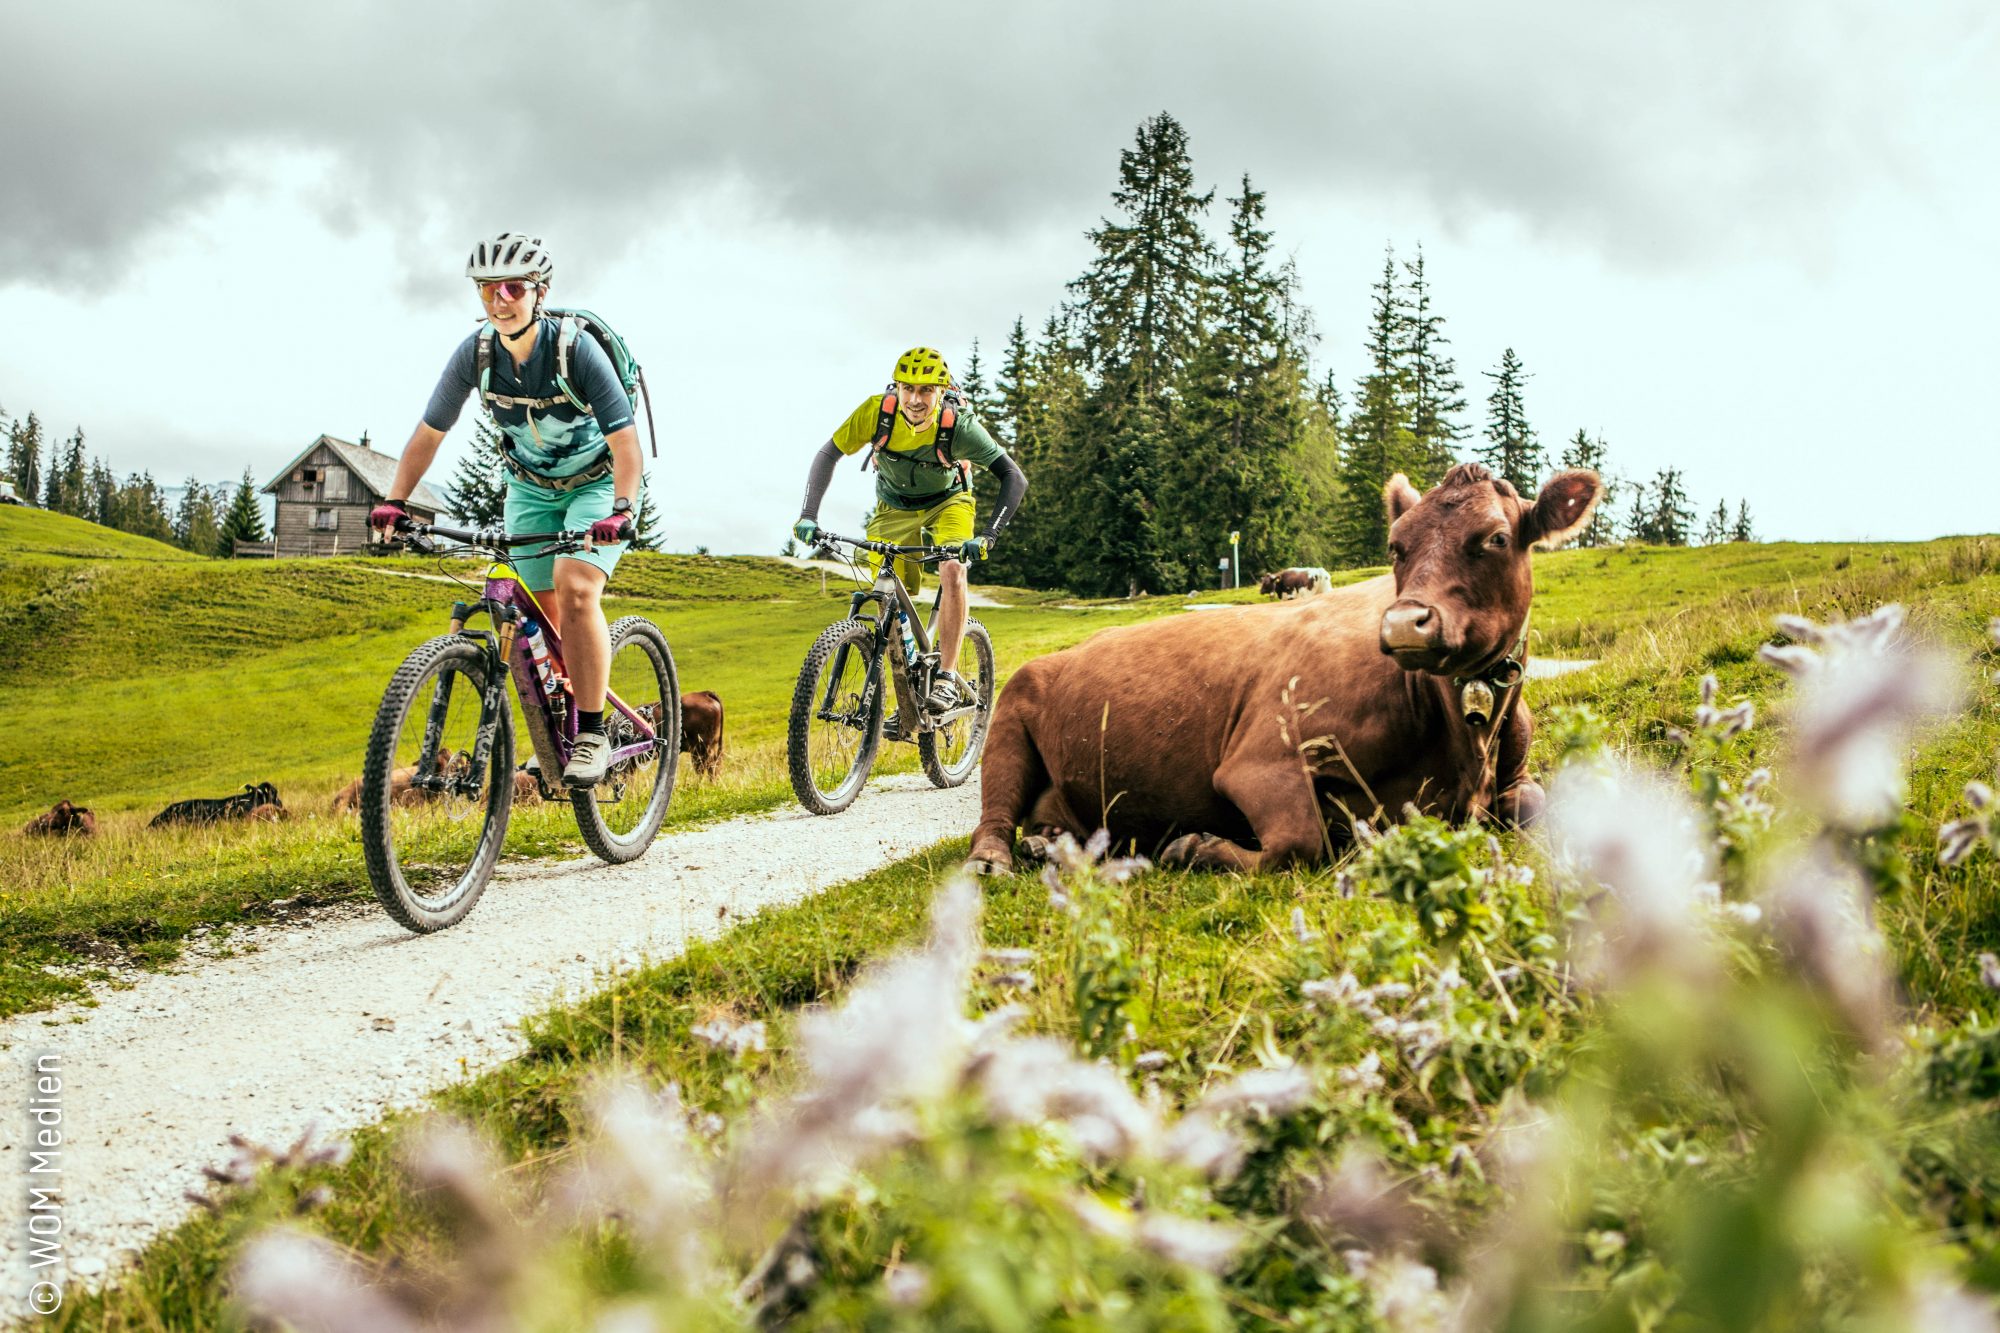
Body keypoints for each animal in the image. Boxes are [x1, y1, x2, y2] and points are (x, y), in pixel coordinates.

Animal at [960, 464, 1600, 872]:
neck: (1462, 746)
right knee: (993, 815)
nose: (1403, 624)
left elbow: (1536, 805)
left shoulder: (1512, 775)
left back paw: (1050, 846)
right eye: (1396, 545)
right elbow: (1300, 840)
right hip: (1009, 709)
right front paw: (1194, 848)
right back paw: (997, 859)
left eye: (1495, 538)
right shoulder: (1257, 761)